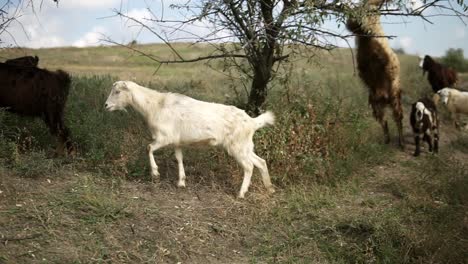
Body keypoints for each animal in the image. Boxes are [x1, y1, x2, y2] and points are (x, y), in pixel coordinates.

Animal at [104, 80, 276, 198]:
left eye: (117, 91)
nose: (106, 105)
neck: (155, 106)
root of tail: (253, 122)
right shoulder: (177, 141)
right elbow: (179, 158)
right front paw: (181, 182)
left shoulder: (164, 137)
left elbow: (149, 148)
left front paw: (155, 173)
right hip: (245, 146)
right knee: (261, 162)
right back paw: (270, 188)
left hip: (237, 146)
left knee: (249, 166)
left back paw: (241, 193)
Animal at [346, 0, 404, 147]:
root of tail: (384, 97)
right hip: (375, 101)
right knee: (384, 121)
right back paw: (387, 139)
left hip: (394, 96)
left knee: (398, 117)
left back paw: (400, 141)